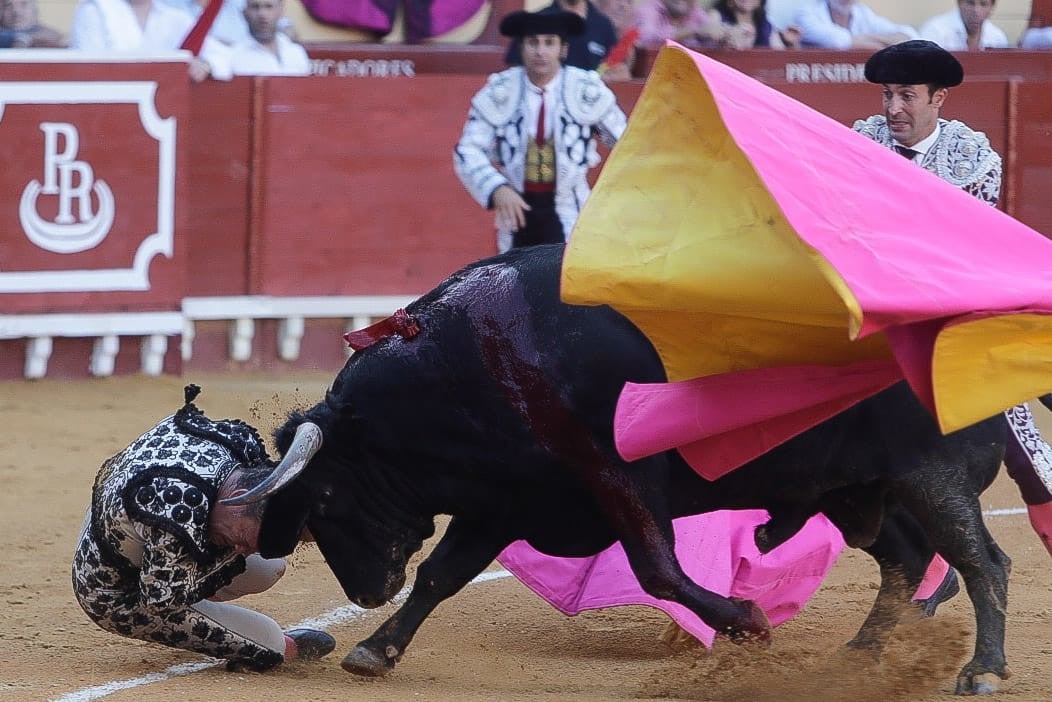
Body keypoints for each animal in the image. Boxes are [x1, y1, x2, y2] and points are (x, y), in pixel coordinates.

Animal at [254, 244, 1009, 694]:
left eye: (325, 496)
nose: (366, 591)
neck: (474, 363)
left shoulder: (619, 477)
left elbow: (658, 569)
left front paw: (749, 623)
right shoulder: (502, 501)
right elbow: (442, 574)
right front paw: (376, 649)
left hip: (929, 472)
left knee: (981, 560)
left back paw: (982, 669)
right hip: (853, 490)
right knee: (907, 558)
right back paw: (857, 660)